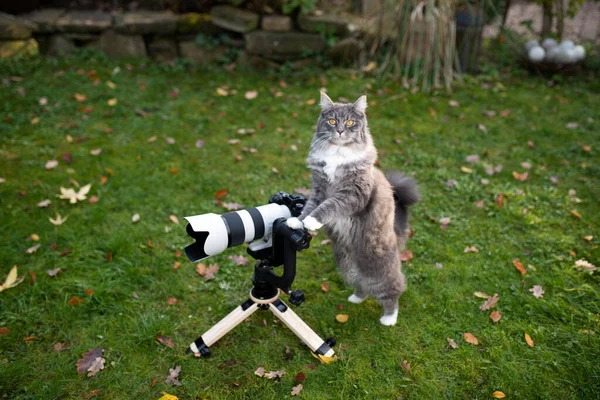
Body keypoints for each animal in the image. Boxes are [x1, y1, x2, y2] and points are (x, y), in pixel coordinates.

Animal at [288, 92, 420, 326]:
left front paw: (312, 221)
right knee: (362, 286)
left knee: (393, 291)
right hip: (348, 268)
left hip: (379, 271)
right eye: (332, 121)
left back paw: (389, 319)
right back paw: (355, 299)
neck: (337, 154)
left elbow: (327, 207)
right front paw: (297, 221)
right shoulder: (319, 189)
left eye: (350, 122)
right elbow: (310, 206)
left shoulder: (352, 195)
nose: (340, 130)